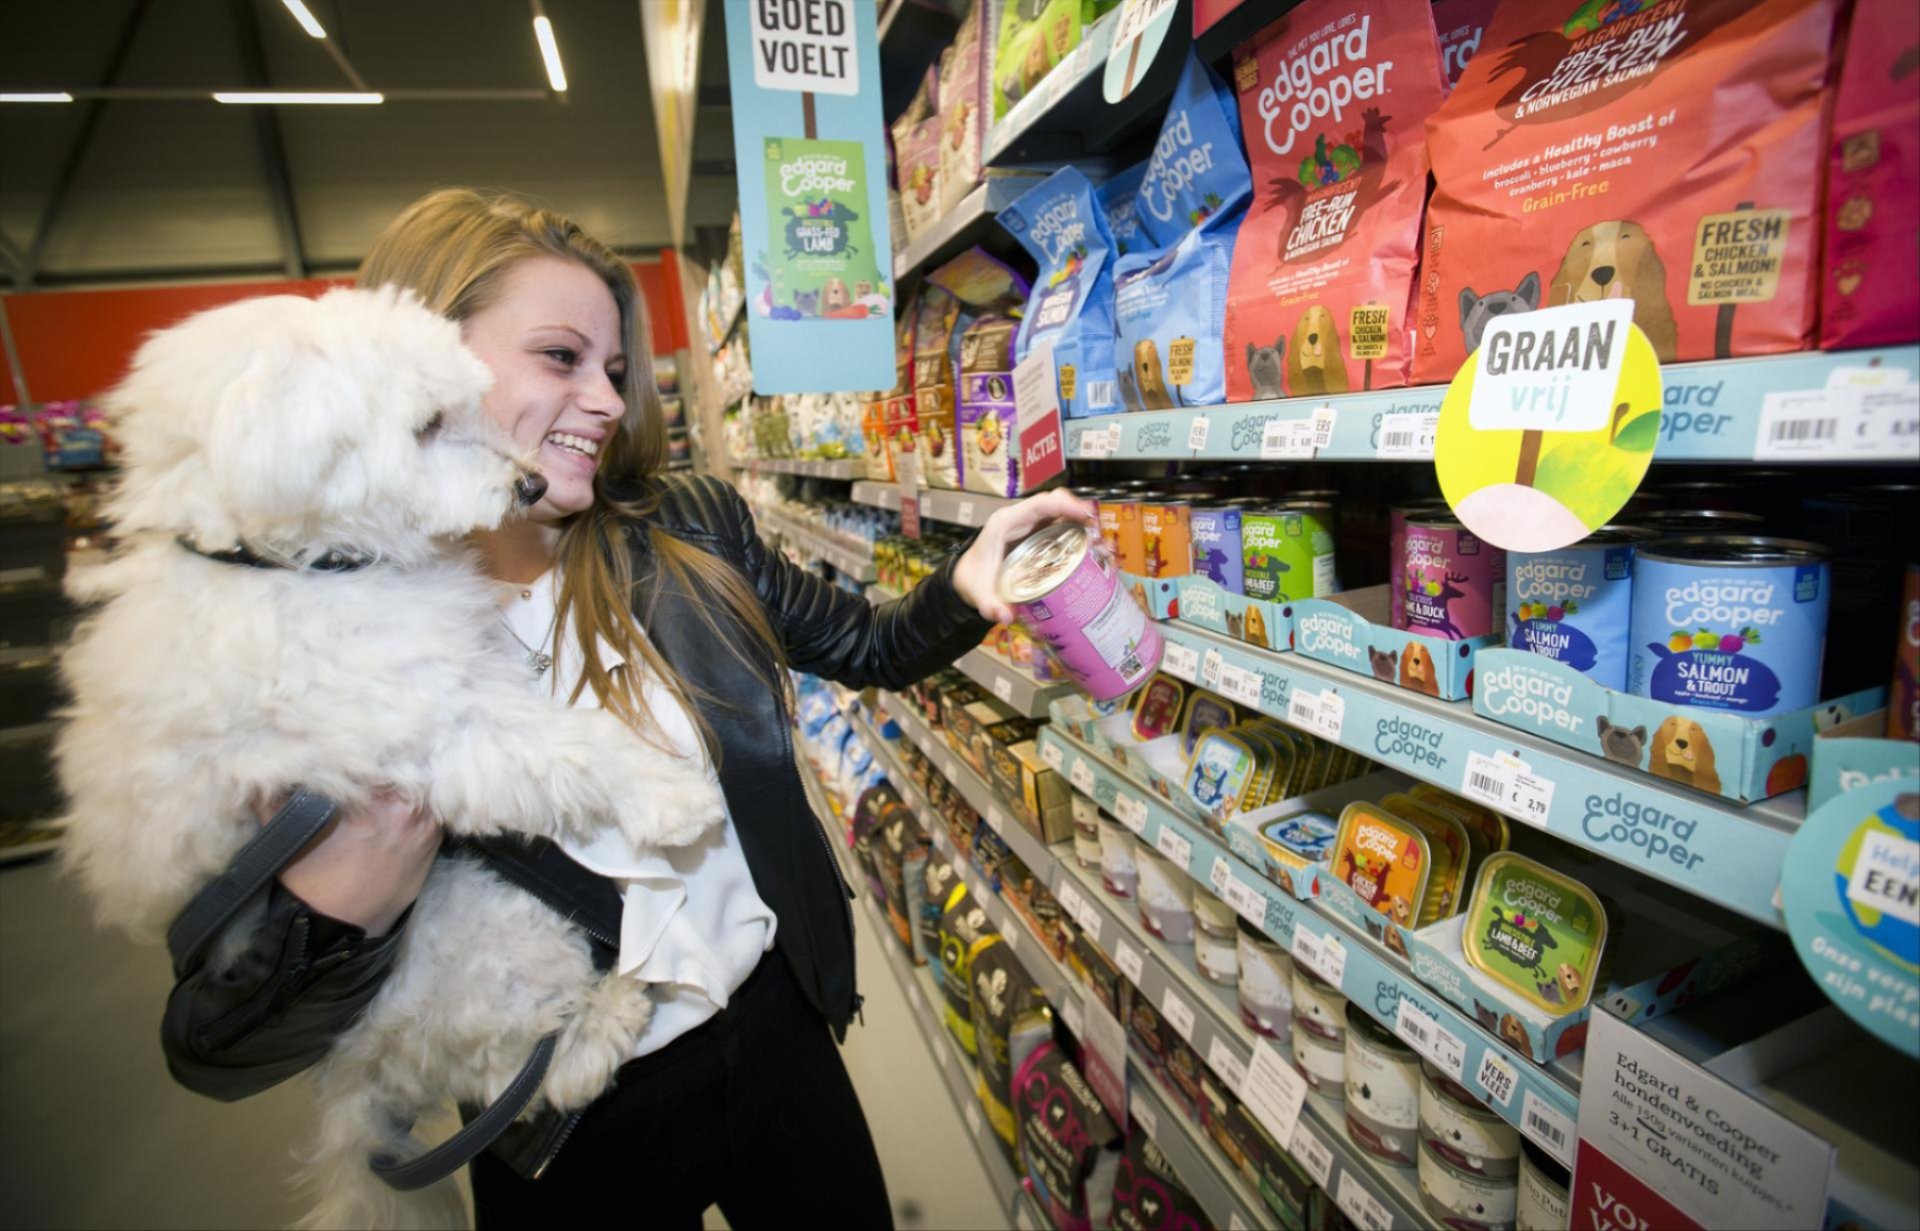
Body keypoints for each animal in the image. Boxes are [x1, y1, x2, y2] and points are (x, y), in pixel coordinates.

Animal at [60, 286, 721, 1221]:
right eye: (428, 423)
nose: (526, 481)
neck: (282, 564)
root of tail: (361, 1083)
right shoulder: (427, 721)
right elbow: (564, 743)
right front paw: (672, 794)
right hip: (484, 941)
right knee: (523, 1064)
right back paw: (613, 1011)